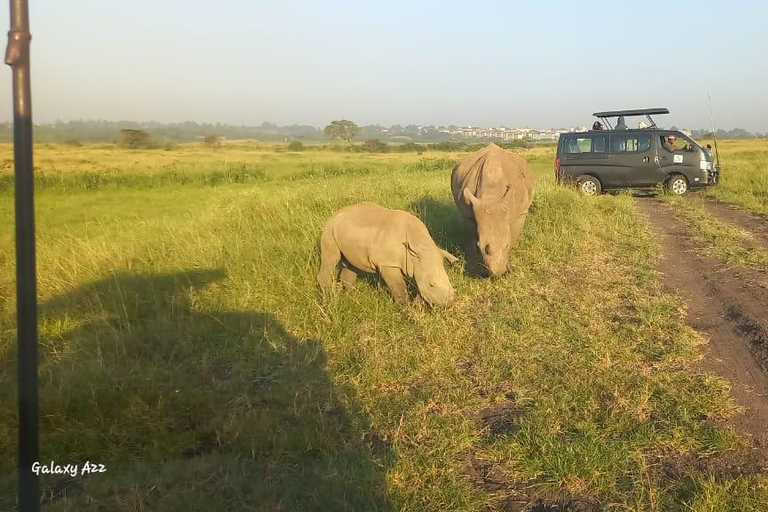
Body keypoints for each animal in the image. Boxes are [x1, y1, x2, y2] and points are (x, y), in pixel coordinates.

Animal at [316, 202, 460, 306]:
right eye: (431, 285)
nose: (450, 302)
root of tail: (334, 215)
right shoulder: (388, 263)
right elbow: (398, 286)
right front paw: (403, 307)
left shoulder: (419, 261)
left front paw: (416, 305)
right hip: (329, 229)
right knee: (330, 259)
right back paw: (329, 300)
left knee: (350, 264)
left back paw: (351, 298)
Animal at [450, 142, 536, 276]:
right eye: (479, 245)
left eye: (506, 245)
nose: (496, 274)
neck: (492, 196)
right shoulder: (470, 212)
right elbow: (473, 233)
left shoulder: (520, 213)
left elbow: (513, 233)